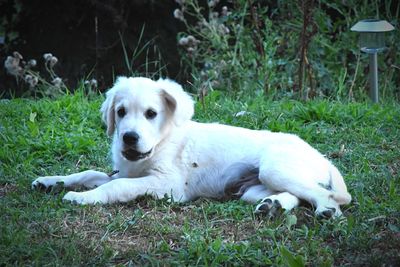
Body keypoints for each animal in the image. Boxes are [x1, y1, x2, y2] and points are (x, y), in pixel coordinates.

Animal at [32, 76, 352, 219]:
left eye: (151, 113)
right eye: (120, 112)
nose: (129, 138)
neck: (160, 144)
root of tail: (323, 157)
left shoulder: (169, 185)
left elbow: (116, 186)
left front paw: (83, 198)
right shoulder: (122, 171)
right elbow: (88, 173)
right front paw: (49, 181)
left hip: (276, 168)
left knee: (322, 194)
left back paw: (326, 210)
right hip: (253, 187)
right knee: (294, 195)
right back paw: (272, 205)